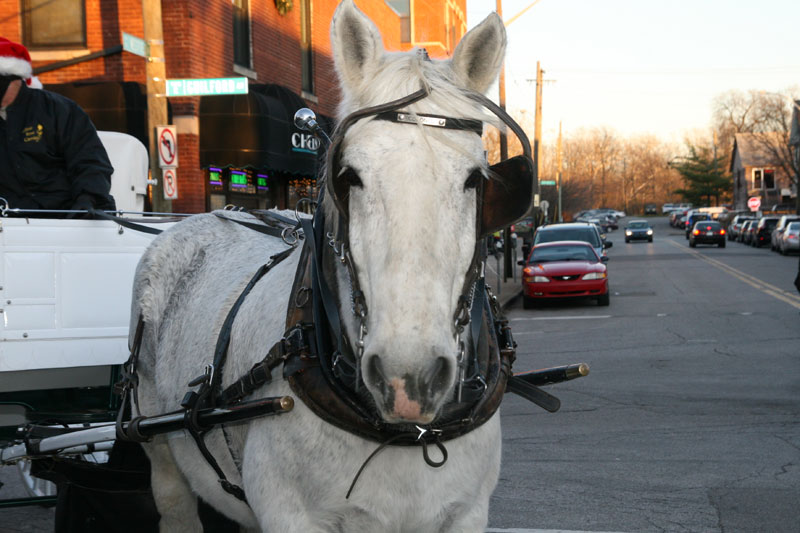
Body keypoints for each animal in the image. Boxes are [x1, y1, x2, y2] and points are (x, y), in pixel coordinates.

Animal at [130, 2, 520, 528]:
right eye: (349, 176)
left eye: (476, 180)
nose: (409, 378)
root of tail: (201, 216)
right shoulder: (289, 513)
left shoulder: (466, 512)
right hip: (161, 456)